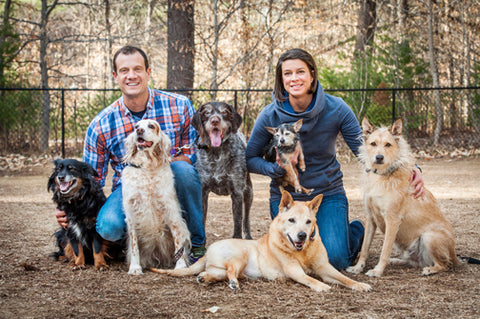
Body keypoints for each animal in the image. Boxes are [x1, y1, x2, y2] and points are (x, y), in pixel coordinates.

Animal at [122, 119, 191, 276]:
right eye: (136, 126)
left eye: (151, 126)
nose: (139, 131)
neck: (146, 168)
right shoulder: (131, 213)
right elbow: (134, 245)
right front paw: (135, 267)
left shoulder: (171, 211)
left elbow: (178, 242)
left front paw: (180, 266)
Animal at [152, 191, 374, 294]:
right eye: (291, 220)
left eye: (308, 222)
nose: (302, 235)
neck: (302, 251)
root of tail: (208, 252)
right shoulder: (295, 271)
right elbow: (310, 279)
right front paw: (321, 286)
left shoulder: (325, 268)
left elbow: (344, 278)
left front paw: (360, 284)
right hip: (239, 257)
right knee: (231, 272)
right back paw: (233, 283)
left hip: (221, 269)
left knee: (216, 275)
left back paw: (205, 278)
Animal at [191, 102, 253, 240]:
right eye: (206, 113)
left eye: (224, 112)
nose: (215, 121)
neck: (216, 152)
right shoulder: (202, 192)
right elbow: (201, 219)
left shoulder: (237, 193)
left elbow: (238, 222)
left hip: (249, 193)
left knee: (246, 218)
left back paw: (248, 235)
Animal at [344, 117, 458, 278]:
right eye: (373, 144)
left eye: (388, 144)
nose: (379, 157)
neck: (381, 175)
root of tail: (455, 255)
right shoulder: (371, 218)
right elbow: (365, 248)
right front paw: (358, 267)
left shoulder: (392, 219)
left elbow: (384, 250)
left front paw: (378, 271)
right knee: (411, 260)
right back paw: (396, 260)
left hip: (429, 237)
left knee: (444, 264)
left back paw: (430, 269)